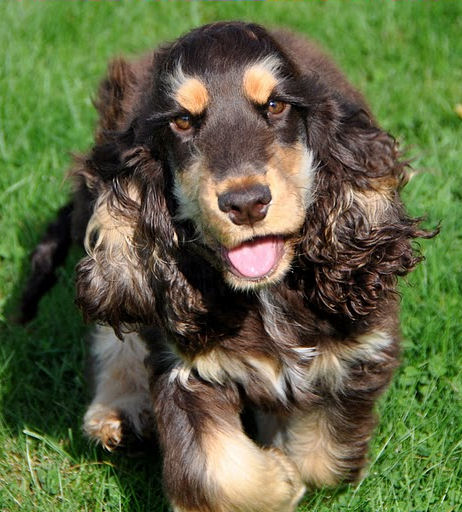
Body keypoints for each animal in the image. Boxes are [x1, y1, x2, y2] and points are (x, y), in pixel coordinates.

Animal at [20, 21, 436, 512]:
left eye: (275, 105)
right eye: (182, 121)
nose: (246, 203)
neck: (266, 293)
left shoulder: (358, 346)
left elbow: (323, 455)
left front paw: (289, 454)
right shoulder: (185, 365)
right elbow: (220, 474)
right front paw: (280, 477)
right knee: (112, 329)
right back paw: (117, 411)